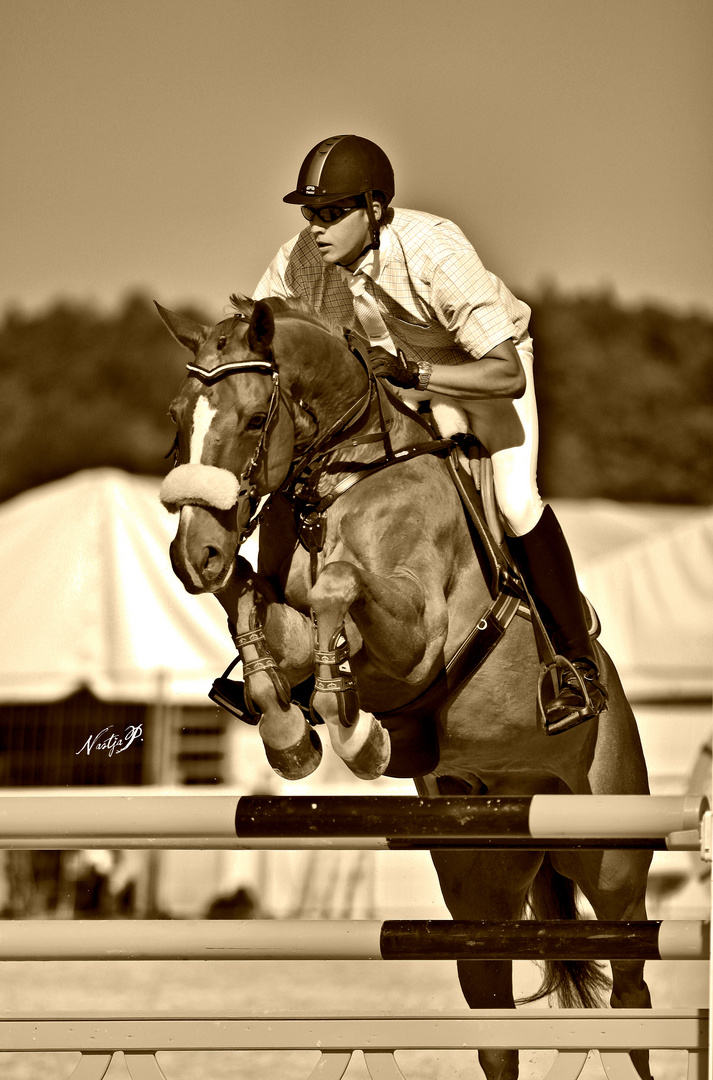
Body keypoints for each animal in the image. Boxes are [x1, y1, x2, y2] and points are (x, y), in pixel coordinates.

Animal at [158, 293, 652, 1080]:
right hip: (477, 886)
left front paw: (356, 734)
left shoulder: (418, 631)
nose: (194, 555)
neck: (342, 481)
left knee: (632, 992)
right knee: (495, 1018)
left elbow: (339, 584)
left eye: (255, 419)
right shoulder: (284, 620)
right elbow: (253, 612)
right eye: (179, 416)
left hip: (611, 861)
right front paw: (293, 736)